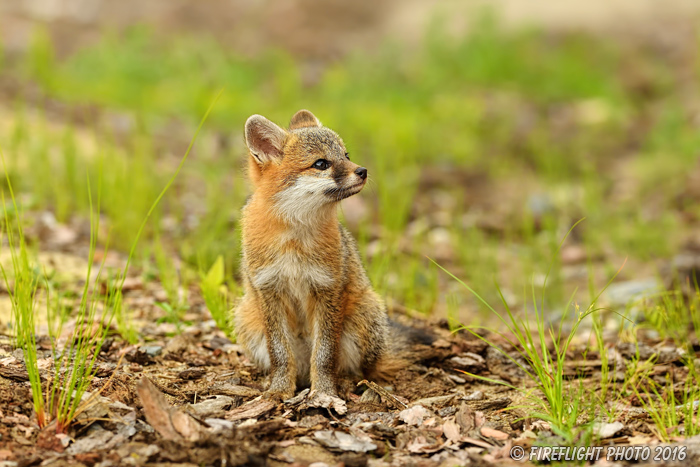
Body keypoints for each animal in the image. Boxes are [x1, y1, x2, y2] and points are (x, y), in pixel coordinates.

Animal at [232, 109, 402, 402]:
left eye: (346, 155)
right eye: (321, 164)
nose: (363, 171)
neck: (293, 240)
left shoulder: (328, 289)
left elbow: (324, 355)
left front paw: (324, 392)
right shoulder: (268, 290)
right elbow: (280, 354)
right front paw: (279, 390)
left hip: (363, 316)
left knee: (360, 370)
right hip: (248, 318)